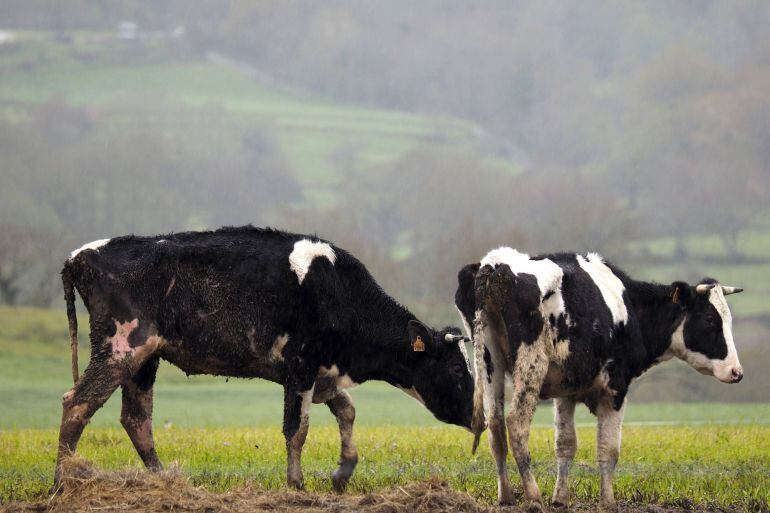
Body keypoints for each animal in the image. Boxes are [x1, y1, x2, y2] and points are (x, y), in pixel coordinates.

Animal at [54, 228, 472, 492]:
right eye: (456, 367)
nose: (478, 416)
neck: (338, 291)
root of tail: (80, 256)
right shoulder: (300, 367)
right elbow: (297, 428)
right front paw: (297, 485)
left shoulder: (323, 373)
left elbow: (347, 411)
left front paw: (342, 472)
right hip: (121, 348)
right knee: (78, 403)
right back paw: (62, 482)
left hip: (145, 359)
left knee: (136, 419)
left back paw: (163, 480)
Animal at [452, 248, 740, 508]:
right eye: (710, 319)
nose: (737, 371)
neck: (630, 307)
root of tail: (494, 264)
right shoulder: (615, 389)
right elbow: (609, 449)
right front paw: (608, 501)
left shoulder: (566, 391)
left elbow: (566, 445)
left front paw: (561, 499)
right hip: (531, 365)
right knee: (516, 424)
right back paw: (533, 495)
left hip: (491, 363)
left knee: (496, 426)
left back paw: (506, 496)